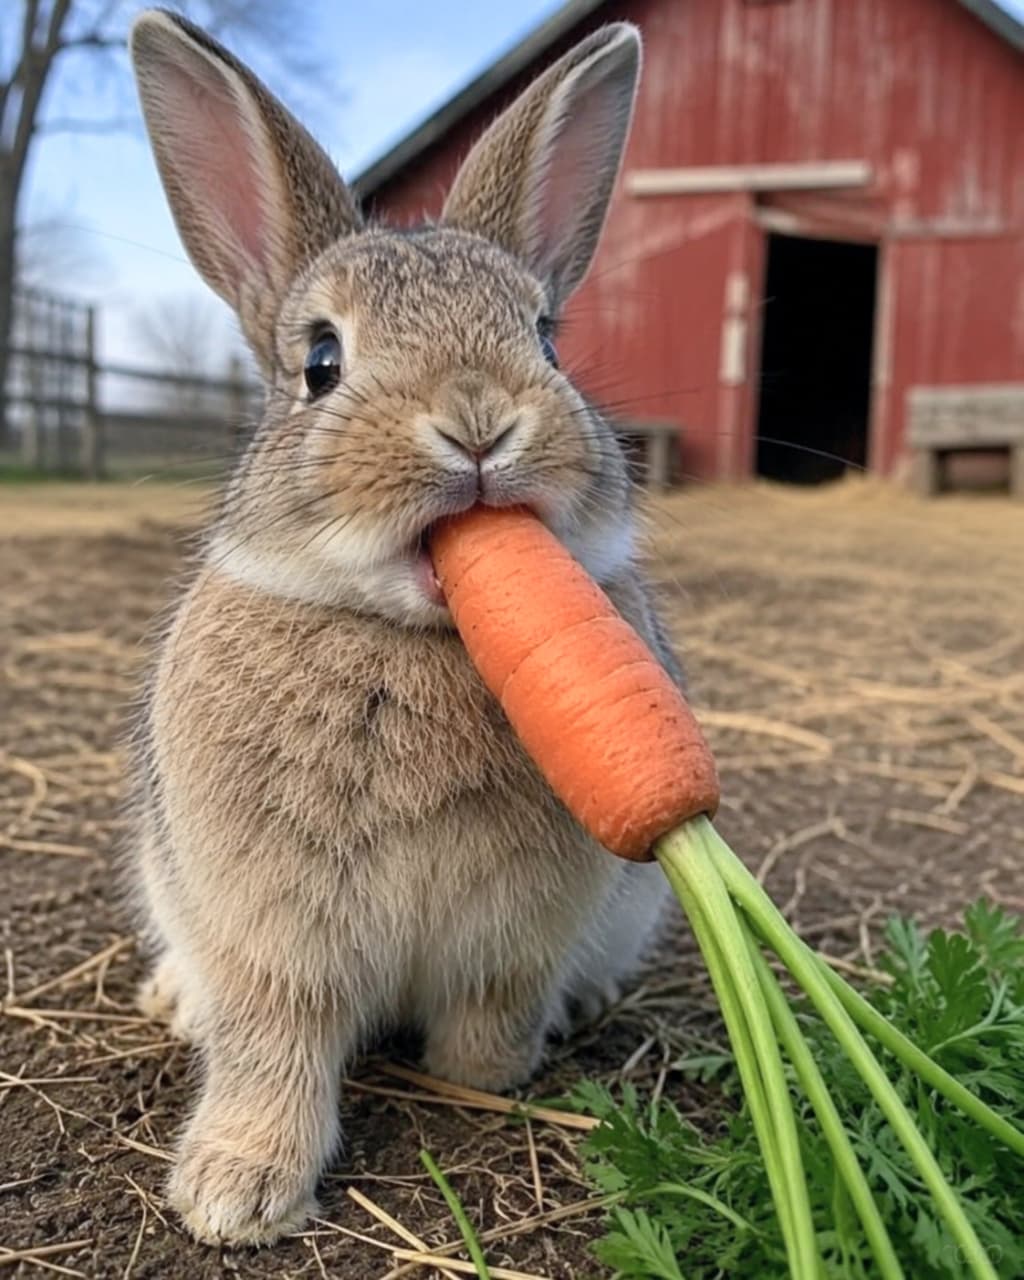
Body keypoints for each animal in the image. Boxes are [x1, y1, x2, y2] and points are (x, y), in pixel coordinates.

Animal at [127, 8, 681, 1247]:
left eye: (547, 341)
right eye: (320, 362)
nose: (478, 420)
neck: (412, 633)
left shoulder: (516, 930)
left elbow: (489, 1015)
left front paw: (490, 1075)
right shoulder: (273, 934)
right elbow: (273, 1047)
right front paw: (234, 1193)